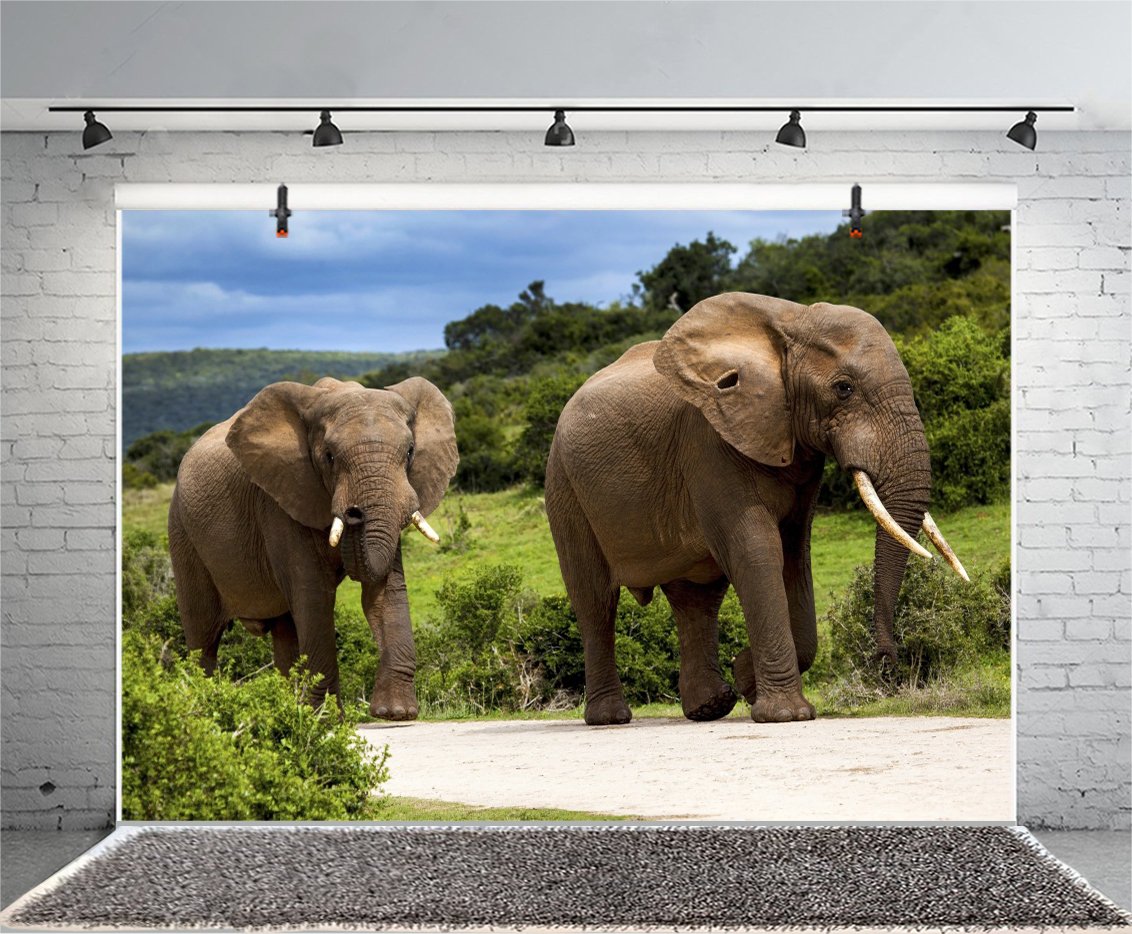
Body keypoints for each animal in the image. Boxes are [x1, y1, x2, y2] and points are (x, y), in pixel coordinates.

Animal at [168, 375, 458, 719]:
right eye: (329, 457)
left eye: (410, 452)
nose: (355, 511)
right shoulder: (280, 501)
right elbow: (314, 595)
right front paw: (325, 719)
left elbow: (384, 590)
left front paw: (396, 713)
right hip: (182, 533)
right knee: (203, 637)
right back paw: (205, 710)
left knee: (284, 632)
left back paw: (284, 708)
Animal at [545, 292, 968, 726]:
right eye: (844, 388)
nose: (886, 659)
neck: (790, 321)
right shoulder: (710, 443)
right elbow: (757, 551)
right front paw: (785, 714)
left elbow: (795, 555)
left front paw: (746, 677)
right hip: (564, 487)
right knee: (595, 599)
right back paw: (609, 718)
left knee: (696, 599)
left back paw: (709, 706)